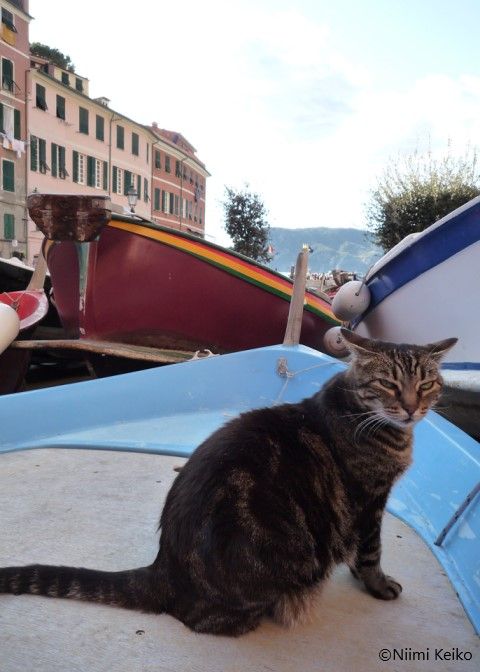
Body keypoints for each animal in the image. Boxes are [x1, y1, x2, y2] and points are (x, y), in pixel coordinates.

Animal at [0, 329, 457, 636]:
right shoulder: (370, 500)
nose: (412, 408)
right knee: (205, 620)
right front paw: (378, 585)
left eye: (427, 384)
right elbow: (371, 551)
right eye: (388, 384)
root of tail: (163, 568)